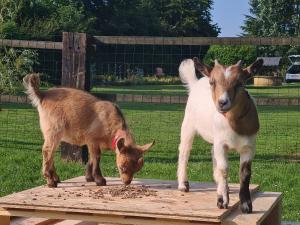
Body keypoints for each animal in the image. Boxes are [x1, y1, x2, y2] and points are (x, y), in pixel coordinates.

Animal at [23, 74, 155, 188]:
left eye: (137, 169)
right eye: (122, 167)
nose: (127, 182)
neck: (111, 123)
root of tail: (42, 95)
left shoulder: (93, 143)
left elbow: (91, 158)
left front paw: (89, 178)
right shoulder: (92, 139)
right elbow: (96, 158)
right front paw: (100, 180)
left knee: (51, 153)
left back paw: (56, 178)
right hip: (54, 129)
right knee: (47, 151)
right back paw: (50, 181)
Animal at [177, 57, 264, 213]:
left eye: (240, 83)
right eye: (213, 82)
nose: (222, 102)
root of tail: (195, 83)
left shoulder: (249, 147)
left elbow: (245, 173)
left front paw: (246, 204)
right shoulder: (221, 144)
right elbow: (224, 169)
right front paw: (222, 200)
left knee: (213, 154)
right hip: (188, 124)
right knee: (184, 152)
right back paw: (183, 184)